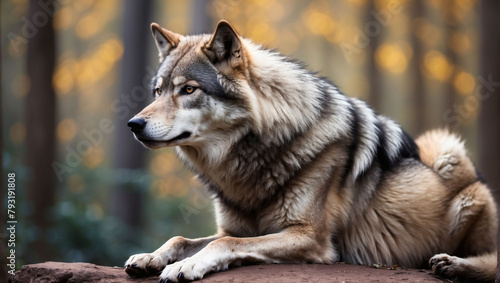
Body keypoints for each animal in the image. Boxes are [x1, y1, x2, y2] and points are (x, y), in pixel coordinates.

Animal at [123, 21, 498, 282]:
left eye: (188, 90)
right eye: (158, 91)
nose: (134, 124)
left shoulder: (309, 237)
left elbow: (222, 245)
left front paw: (185, 267)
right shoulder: (235, 229)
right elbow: (180, 238)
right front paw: (150, 257)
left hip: (460, 175)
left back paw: (453, 264)